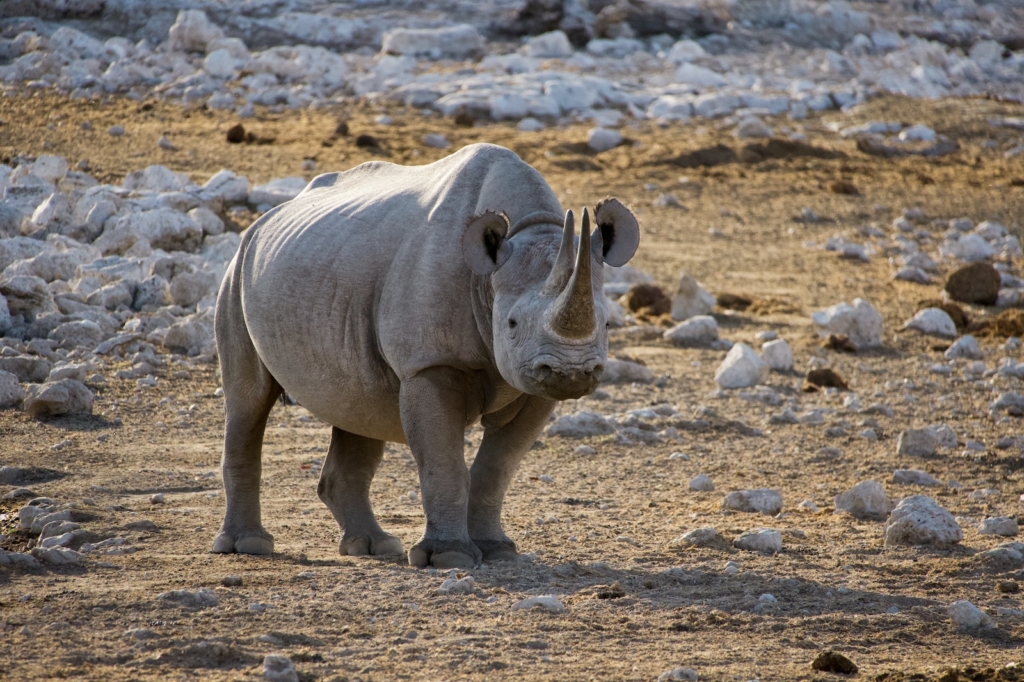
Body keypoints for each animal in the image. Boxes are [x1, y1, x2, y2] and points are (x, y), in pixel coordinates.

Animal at [213, 143, 640, 568]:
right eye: (512, 323)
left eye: (606, 324)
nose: (572, 371)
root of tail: (265, 220)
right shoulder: (430, 364)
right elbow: (443, 462)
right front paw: (449, 557)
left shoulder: (534, 384)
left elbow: (498, 466)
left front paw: (497, 550)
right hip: (237, 272)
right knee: (248, 400)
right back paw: (247, 545)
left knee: (357, 404)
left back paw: (374, 547)